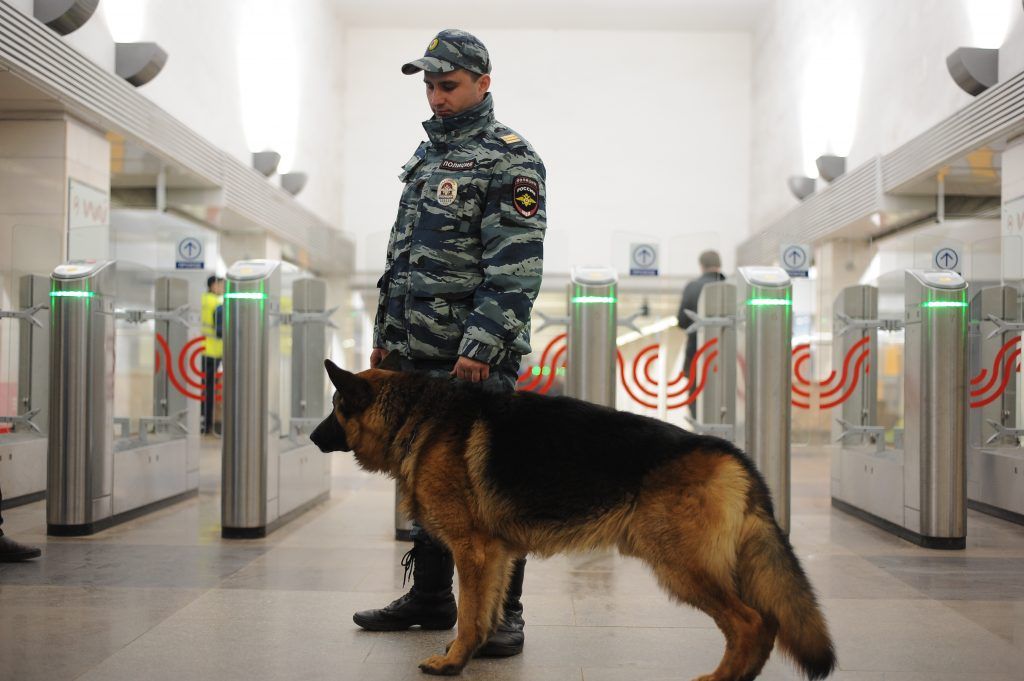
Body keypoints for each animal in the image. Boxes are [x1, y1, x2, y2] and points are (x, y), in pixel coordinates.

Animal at [307, 358, 835, 675]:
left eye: (334, 407)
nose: (311, 438)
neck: (419, 416)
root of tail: (732, 455)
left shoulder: (471, 551)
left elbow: (469, 616)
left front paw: (453, 662)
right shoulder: (494, 555)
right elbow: (483, 613)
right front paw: (476, 652)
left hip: (682, 567)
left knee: (751, 624)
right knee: (763, 626)